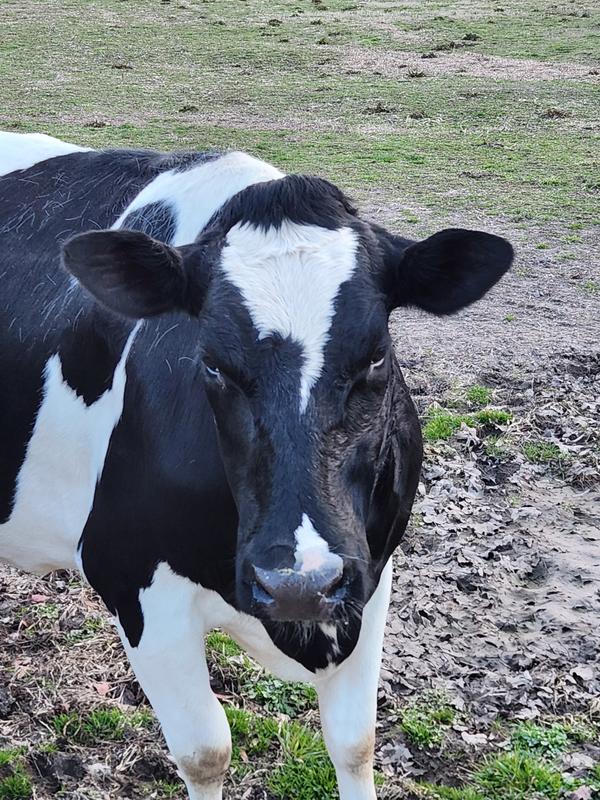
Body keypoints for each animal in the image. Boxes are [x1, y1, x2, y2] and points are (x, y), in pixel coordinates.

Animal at [0, 131, 513, 799]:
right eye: (211, 363)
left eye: (377, 356)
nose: (300, 582)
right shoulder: (130, 576)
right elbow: (206, 752)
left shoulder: (371, 572)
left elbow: (355, 742)